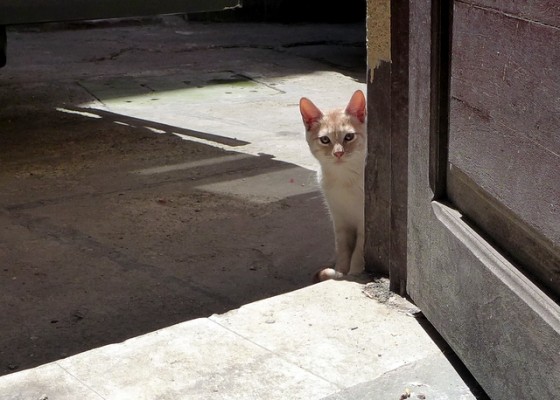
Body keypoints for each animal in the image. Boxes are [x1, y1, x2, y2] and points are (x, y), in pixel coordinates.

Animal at [298, 90, 368, 282]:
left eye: (349, 137)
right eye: (324, 139)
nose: (338, 153)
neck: (344, 179)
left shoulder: (364, 222)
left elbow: (358, 251)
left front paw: (354, 272)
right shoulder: (339, 221)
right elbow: (343, 250)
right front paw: (341, 271)